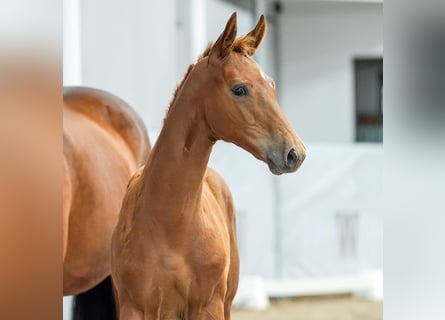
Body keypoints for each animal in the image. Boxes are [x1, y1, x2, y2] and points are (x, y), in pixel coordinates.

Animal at [111, 13, 306, 320]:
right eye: (239, 89)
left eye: (272, 85)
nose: (294, 153)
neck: (170, 227)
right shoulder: (135, 309)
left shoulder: (209, 306)